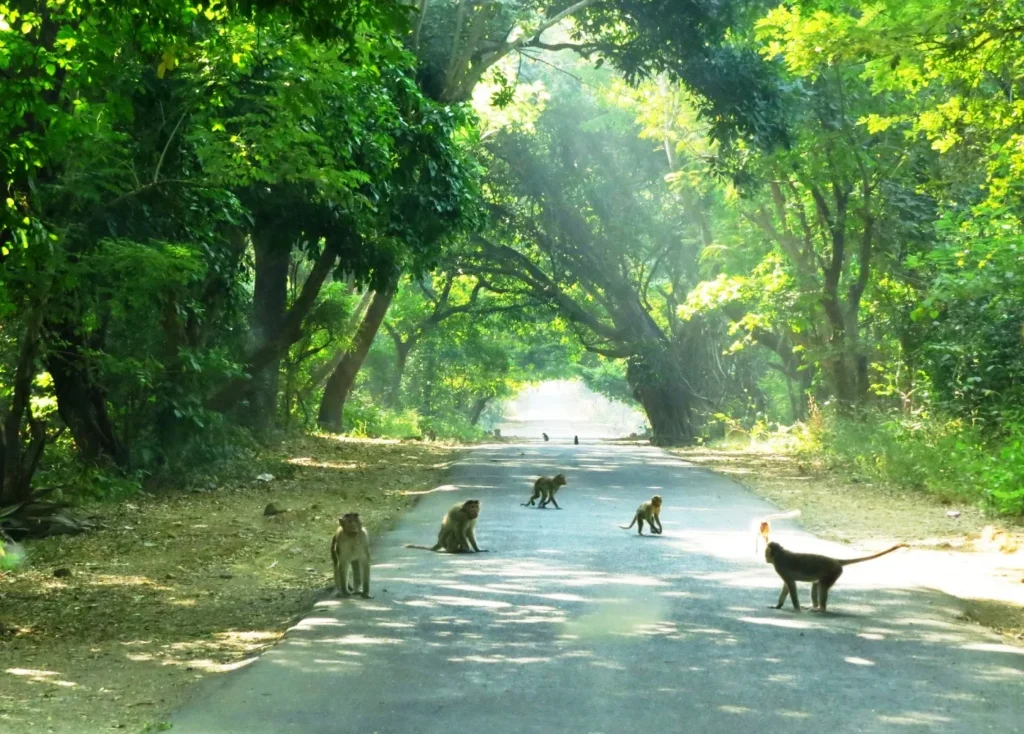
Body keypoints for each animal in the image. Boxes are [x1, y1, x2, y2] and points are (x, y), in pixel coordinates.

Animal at [765, 536, 909, 614]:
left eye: (766, 553)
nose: (765, 558)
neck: (780, 554)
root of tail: (835, 560)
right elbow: (787, 586)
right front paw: (778, 605)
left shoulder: (780, 567)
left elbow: (791, 585)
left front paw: (796, 609)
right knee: (817, 584)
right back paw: (815, 606)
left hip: (833, 572)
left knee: (822, 586)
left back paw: (821, 609)